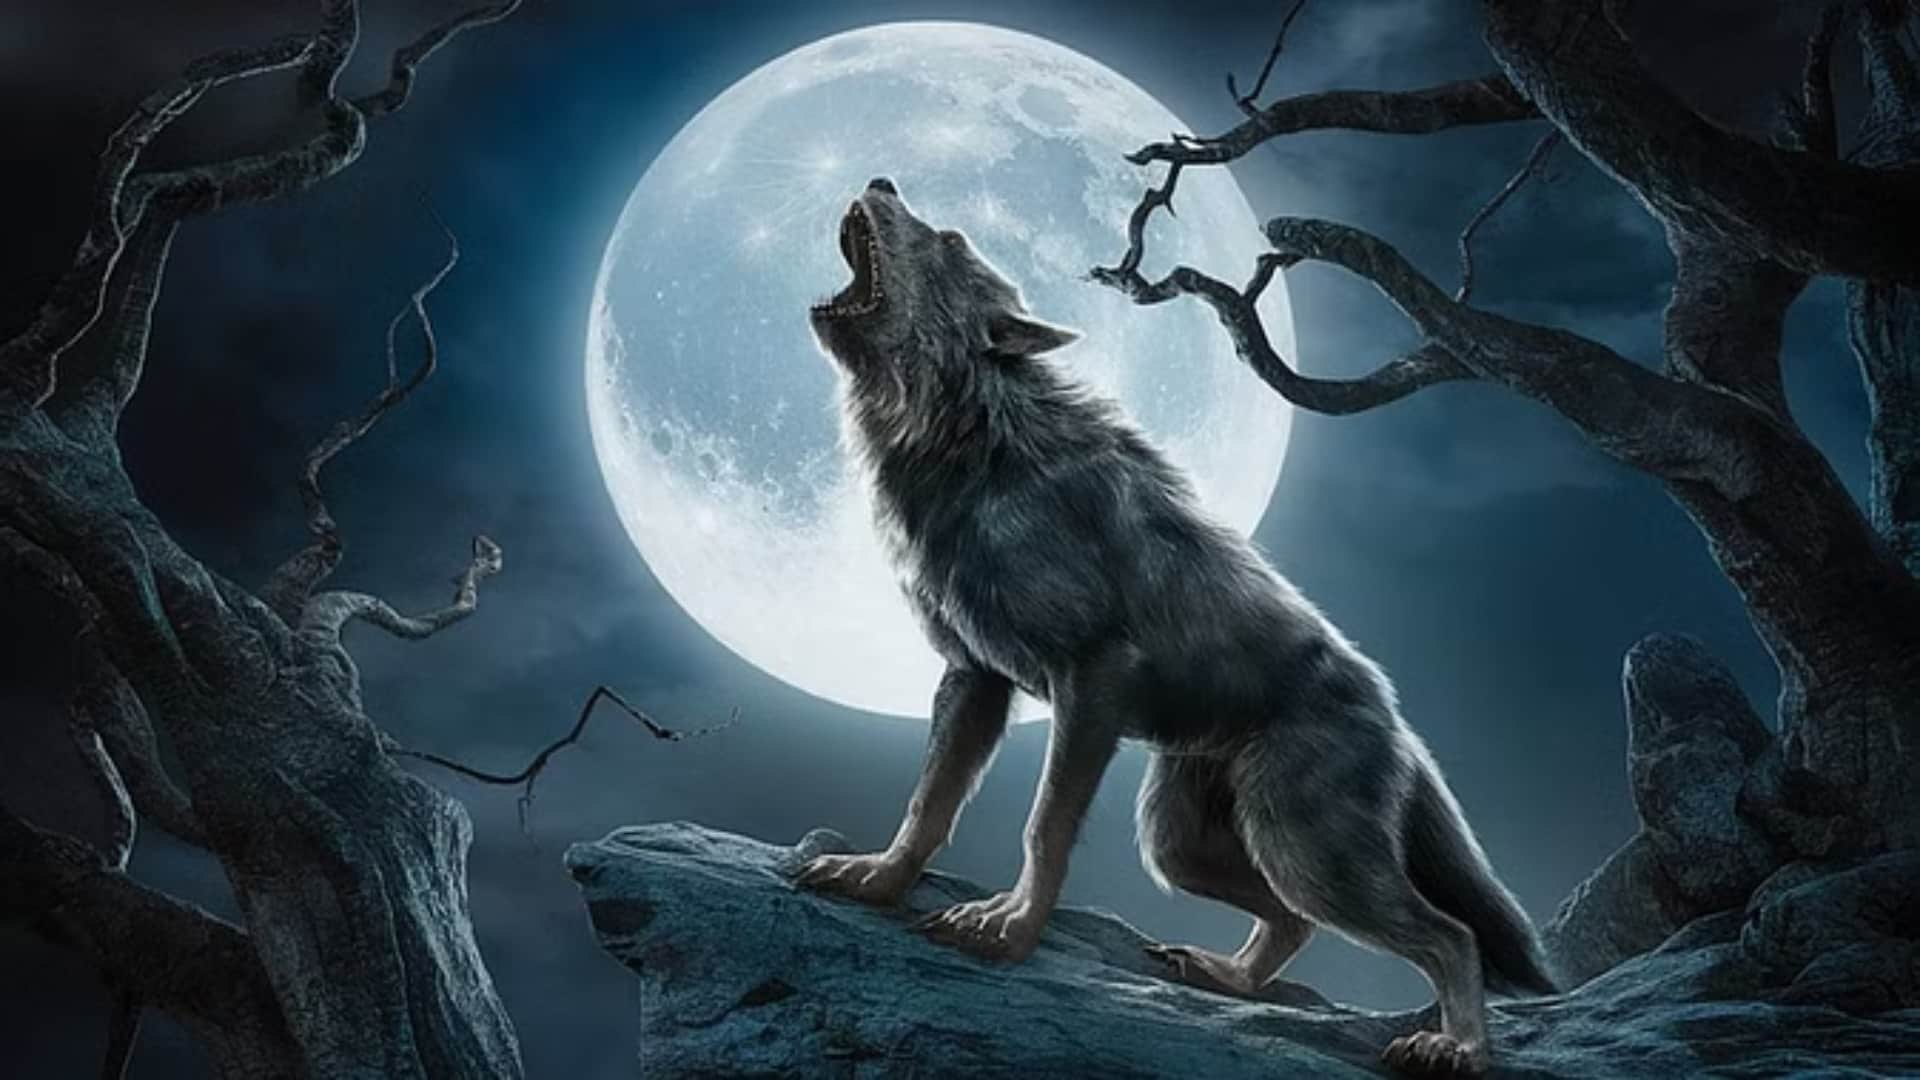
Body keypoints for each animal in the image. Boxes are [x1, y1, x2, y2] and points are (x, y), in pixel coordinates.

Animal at [794, 177, 1556, 1076]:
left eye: (947, 239)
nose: (881, 182)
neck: (966, 434)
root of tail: (1399, 721)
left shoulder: (1091, 679)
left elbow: (1043, 827)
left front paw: (1009, 930)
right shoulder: (972, 677)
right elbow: (928, 805)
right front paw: (879, 880)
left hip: (1302, 850)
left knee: (1451, 934)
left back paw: (1456, 1047)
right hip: (1184, 845)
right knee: (1293, 920)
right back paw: (1226, 976)